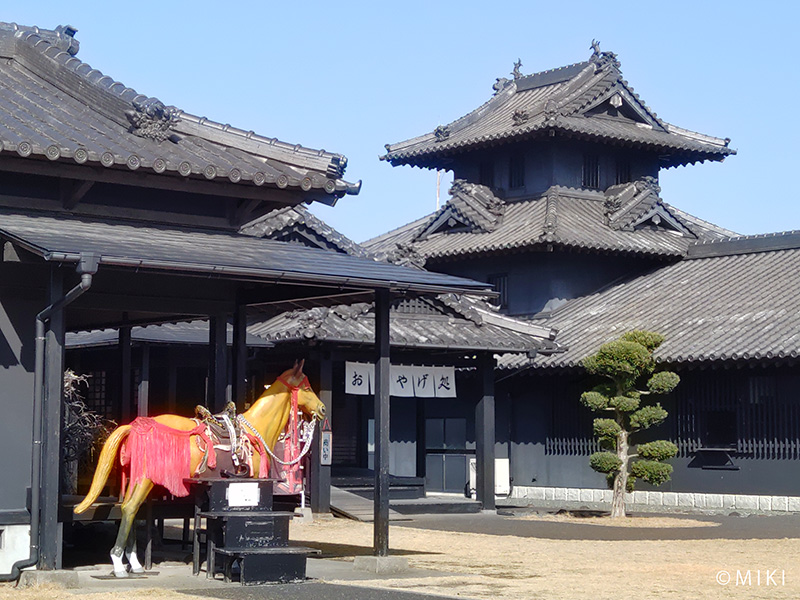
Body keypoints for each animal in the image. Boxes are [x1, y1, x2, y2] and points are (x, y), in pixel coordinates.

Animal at [73, 361, 325, 577]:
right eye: (307, 387)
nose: (323, 409)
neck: (256, 430)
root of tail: (137, 426)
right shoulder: (245, 482)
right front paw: (232, 563)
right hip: (144, 479)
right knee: (129, 509)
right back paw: (118, 564)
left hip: (135, 478)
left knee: (130, 510)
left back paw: (134, 563)